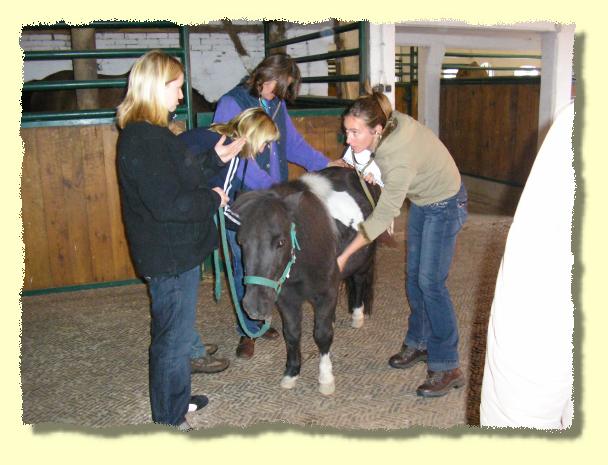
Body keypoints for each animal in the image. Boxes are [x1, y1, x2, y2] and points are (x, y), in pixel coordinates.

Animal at [232, 167, 379, 395]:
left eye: (281, 242)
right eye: (241, 241)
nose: (254, 305)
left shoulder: (326, 293)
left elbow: (322, 335)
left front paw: (326, 378)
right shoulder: (287, 299)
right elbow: (292, 334)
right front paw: (292, 373)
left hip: (363, 261)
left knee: (359, 280)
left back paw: (357, 315)